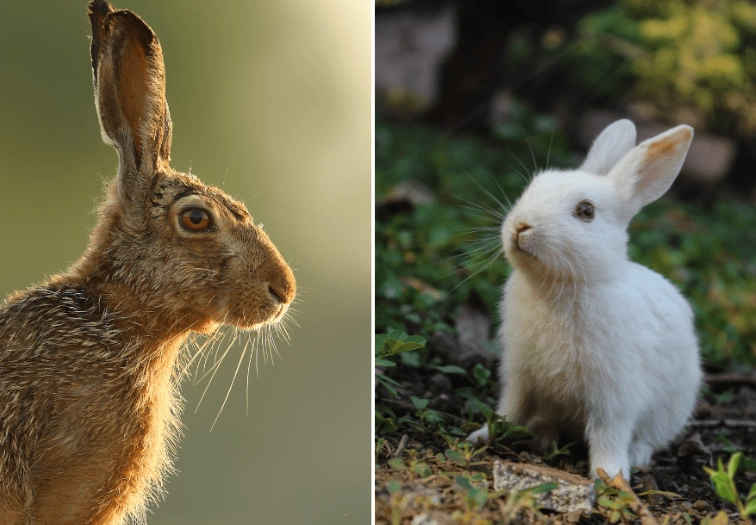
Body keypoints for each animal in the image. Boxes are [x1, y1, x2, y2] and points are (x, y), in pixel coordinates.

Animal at [467, 119, 702, 480]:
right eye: (531, 188)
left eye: (586, 211)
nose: (521, 226)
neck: (561, 284)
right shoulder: (520, 376)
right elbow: (509, 410)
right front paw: (481, 436)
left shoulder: (614, 395)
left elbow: (608, 434)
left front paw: (611, 476)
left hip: (671, 408)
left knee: (648, 438)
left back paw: (636, 457)